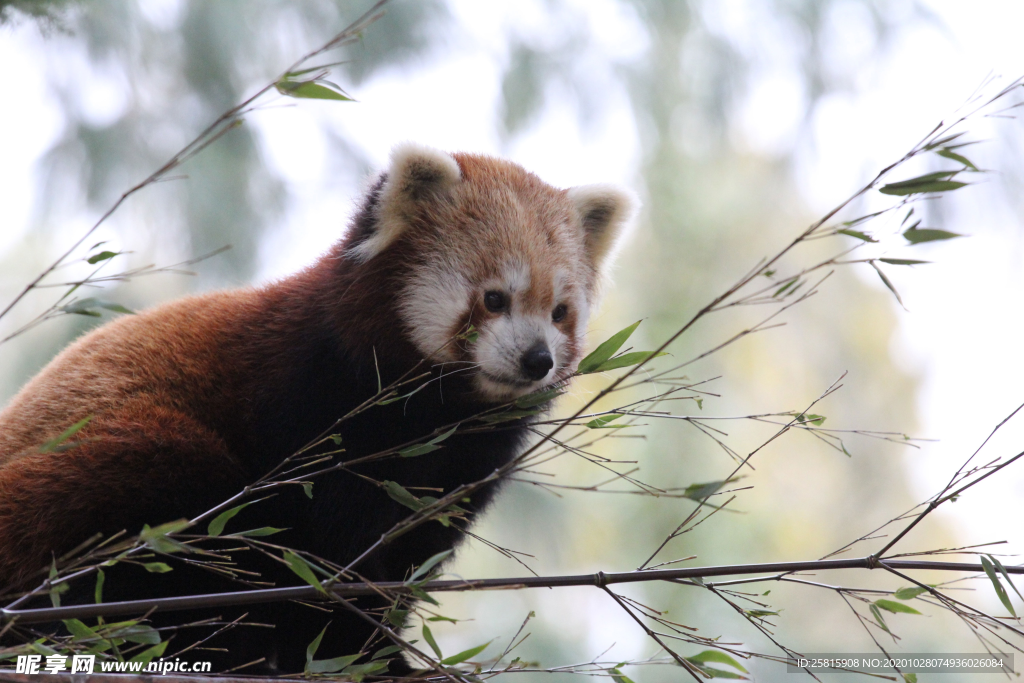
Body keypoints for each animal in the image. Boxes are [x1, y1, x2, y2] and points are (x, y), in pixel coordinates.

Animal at [0, 144, 630, 671]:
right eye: (495, 299)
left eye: (559, 312)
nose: (536, 359)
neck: (435, 411)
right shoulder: (310, 403)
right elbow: (327, 548)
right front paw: (367, 654)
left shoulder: (463, 463)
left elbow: (411, 551)